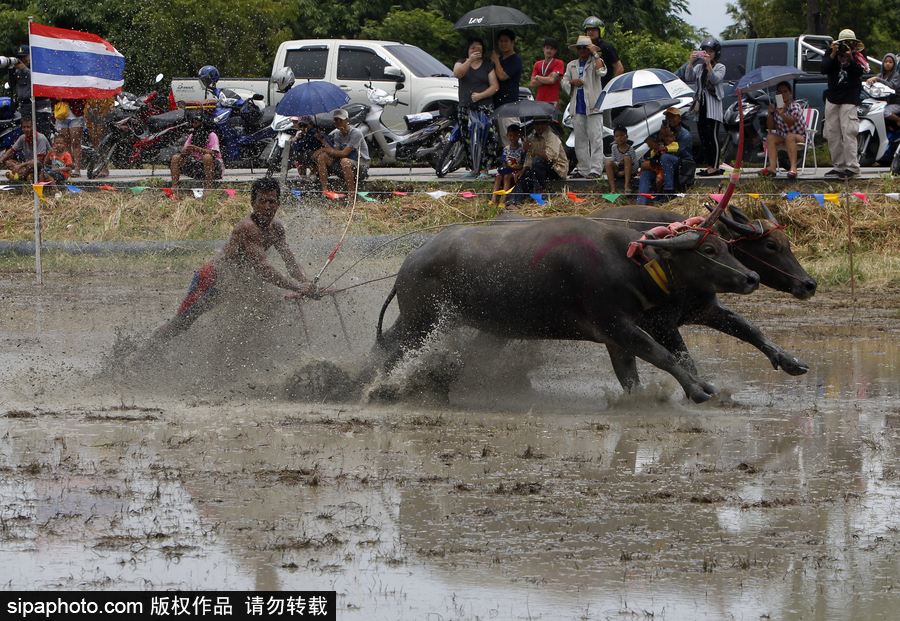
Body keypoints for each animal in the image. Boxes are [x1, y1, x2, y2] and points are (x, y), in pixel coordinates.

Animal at [376, 216, 764, 404]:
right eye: (709, 250)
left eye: (727, 246)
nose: (752, 277)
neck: (628, 264)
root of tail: (411, 261)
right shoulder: (616, 325)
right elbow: (664, 355)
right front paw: (697, 391)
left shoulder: (616, 337)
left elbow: (630, 376)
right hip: (424, 322)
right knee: (398, 352)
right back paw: (384, 390)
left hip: (417, 321)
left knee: (387, 347)